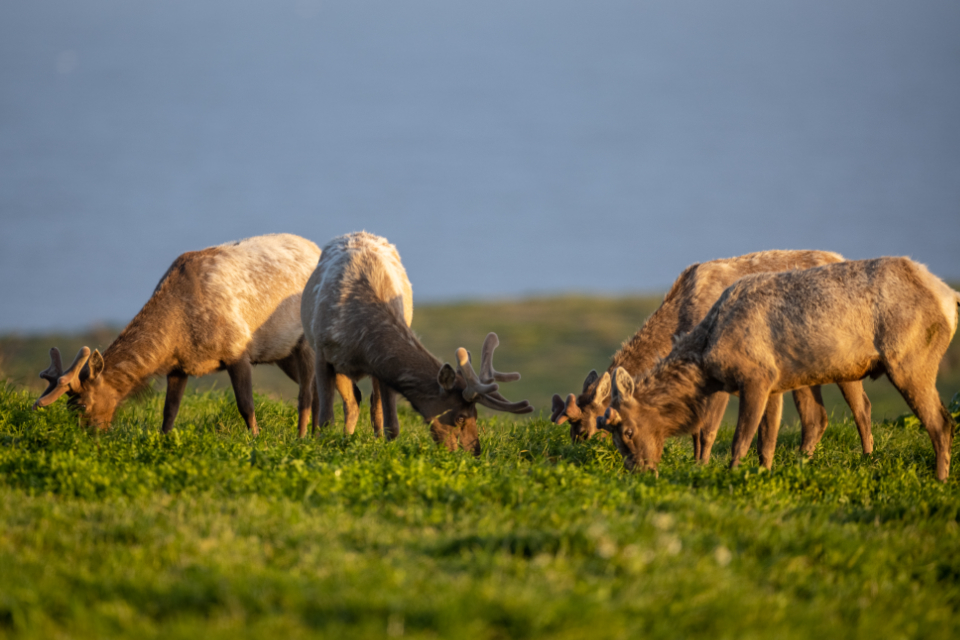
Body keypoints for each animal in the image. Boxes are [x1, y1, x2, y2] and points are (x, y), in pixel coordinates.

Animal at [33, 233, 323, 436]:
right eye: (69, 406)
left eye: (82, 405)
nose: (87, 436)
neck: (177, 335)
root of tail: (318, 248)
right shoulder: (179, 366)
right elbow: (169, 412)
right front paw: (163, 440)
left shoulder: (236, 349)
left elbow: (246, 405)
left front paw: (255, 439)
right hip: (283, 352)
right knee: (316, 387)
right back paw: (318, 434)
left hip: (306, 343)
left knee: (306, 394)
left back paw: (302, 437)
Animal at [300, 231, 533, 453]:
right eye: (460, 417)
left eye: (475, 413)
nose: (475, 451)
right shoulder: (322, 352)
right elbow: (326, 419)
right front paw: (323, 443)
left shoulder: (379, 366)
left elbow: (392, 425)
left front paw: (385, 449)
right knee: (345, 402)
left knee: (368, 406)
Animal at [551, 250, 873, 462]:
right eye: (573, 430)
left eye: (585, 429)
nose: (577, 452)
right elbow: (697, 430)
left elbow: (706, 430)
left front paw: (702, 466)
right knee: (816, 418)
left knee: (862, 407)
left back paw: (868, 458)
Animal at [599, 257, 960, 482]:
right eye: (615, 440)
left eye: (627, 432)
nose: (640, 472)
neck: (706, 355)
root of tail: (949, 297)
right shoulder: (773, 383)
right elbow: (766, 442)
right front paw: (763, 473)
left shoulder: (755, 377)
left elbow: (741, 439)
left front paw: (732, 474)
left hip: (909, 361)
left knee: (941, 422)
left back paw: (939, 480)